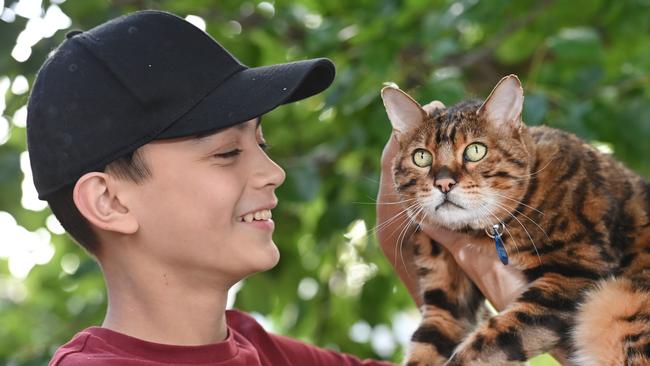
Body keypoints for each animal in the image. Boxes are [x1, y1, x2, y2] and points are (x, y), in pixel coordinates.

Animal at [380, 75, 648, 366]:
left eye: (475, 151)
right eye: (421, 156)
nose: (443, 183)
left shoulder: (575, 271)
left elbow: (494, 338)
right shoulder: (446, 304)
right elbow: (427, 344)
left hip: (617, 302)